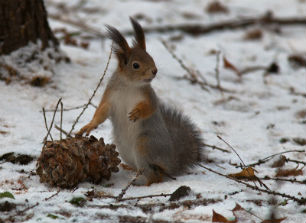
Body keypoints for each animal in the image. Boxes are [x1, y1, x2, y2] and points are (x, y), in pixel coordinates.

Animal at [76, 17, 203, 185]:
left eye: (151, 58)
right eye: (135, 65)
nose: (154, 71)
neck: (130, 85)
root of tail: (171, 163)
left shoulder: (149, 96)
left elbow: (150, 107)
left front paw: (137, 113)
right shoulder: (110, 97)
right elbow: (102, 112)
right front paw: (89, 126)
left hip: (144, 144)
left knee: (156, 176)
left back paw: (143, 182)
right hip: (123, 147)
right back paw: (130, 169)